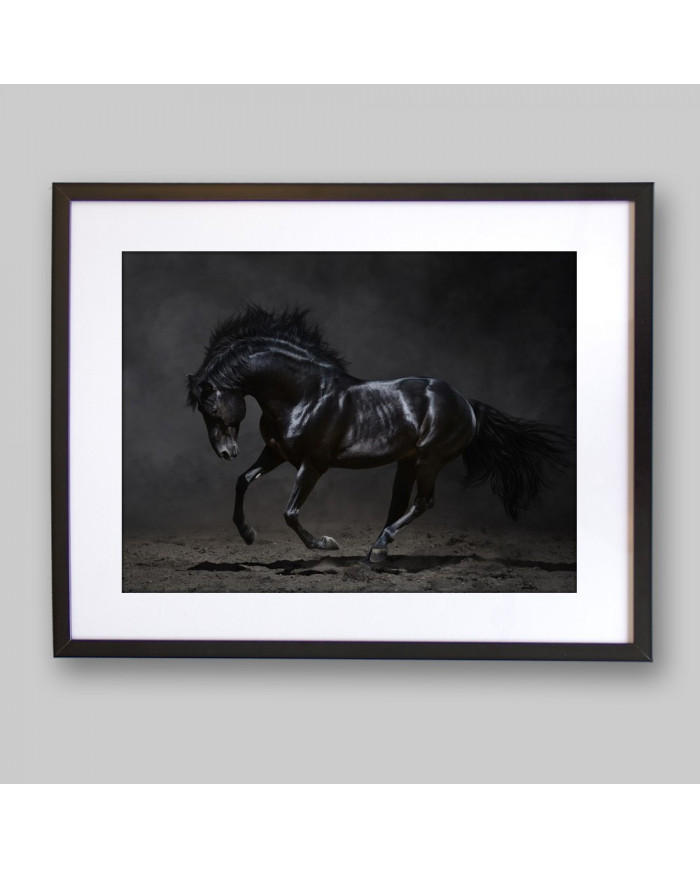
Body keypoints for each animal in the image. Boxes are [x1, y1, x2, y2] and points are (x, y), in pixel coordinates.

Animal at [187, 305, 569, 563]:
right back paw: (375, 552)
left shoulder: (313, 464)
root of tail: (467, 403)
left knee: (423, 501)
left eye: (211, 408)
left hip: (430, 460)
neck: (304, 395)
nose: (226, 452)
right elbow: (243, 481)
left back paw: (380, 548)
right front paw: (248, 534)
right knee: (400, 502)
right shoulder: (276, 453)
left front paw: (326, 544)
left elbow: (290, 512)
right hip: (408, 461)